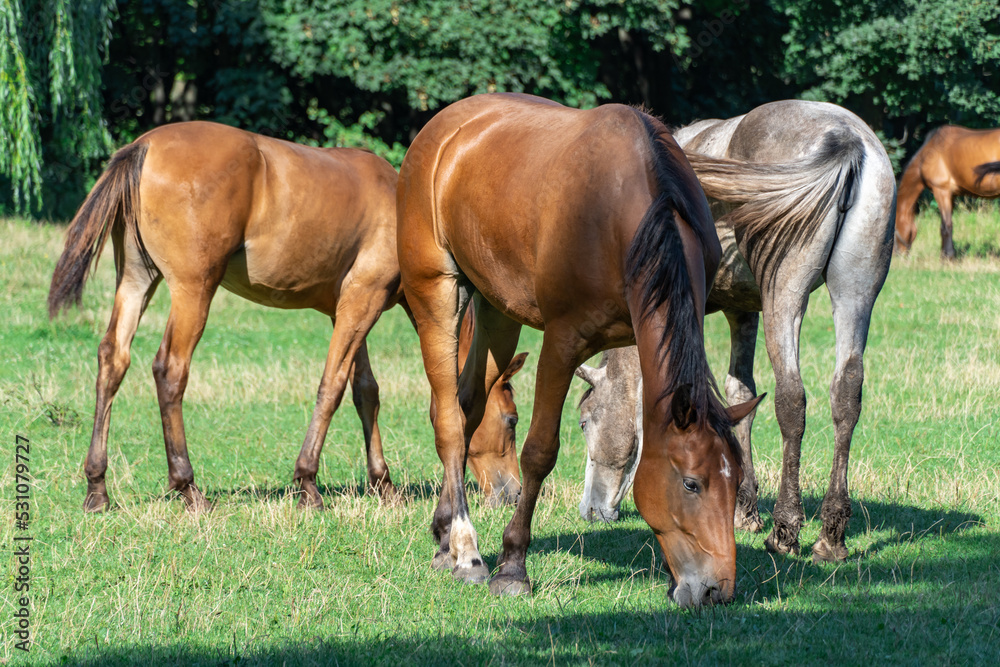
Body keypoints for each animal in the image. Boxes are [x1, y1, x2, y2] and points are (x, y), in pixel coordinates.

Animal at [48, 121, 524, 512]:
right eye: (512, 420)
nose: (513, 493)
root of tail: (144, 145)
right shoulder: (362, 301)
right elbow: (331, 387)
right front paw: (307, 483)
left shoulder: (347, 309)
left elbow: (365, 392)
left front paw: (383, 484)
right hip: (193, 289)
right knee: (170, 370)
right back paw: (187, 486)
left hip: (136, 280)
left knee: (113, 359)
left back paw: (97, 488)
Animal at [397, 92, 763, 608]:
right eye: (691, 483)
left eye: (735, 484)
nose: (717, 590)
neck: (628, 216)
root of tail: (438, 132)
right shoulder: (562, 343)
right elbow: (539, 452)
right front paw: (513, 566)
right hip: (435, 293)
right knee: (448, 420)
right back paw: (467, 551)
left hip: (497, 312)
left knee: (468, 406)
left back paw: (445, 536)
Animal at [574, 100, 896, 564]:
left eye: (584, 422)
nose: (590, 510)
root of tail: (846, 139)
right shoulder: (742, 312)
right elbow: (740, 394)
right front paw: (743, 507)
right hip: (855, 293)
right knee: (846, 394)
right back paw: (830, 536)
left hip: (786, 296)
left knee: (791, 400)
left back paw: (785, 529)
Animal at [895, 125, 1000, 258]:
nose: (898, 254)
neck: (927, 153)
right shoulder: (952, 195)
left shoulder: (941, 191)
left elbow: (946, 226)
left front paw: (948, 256)